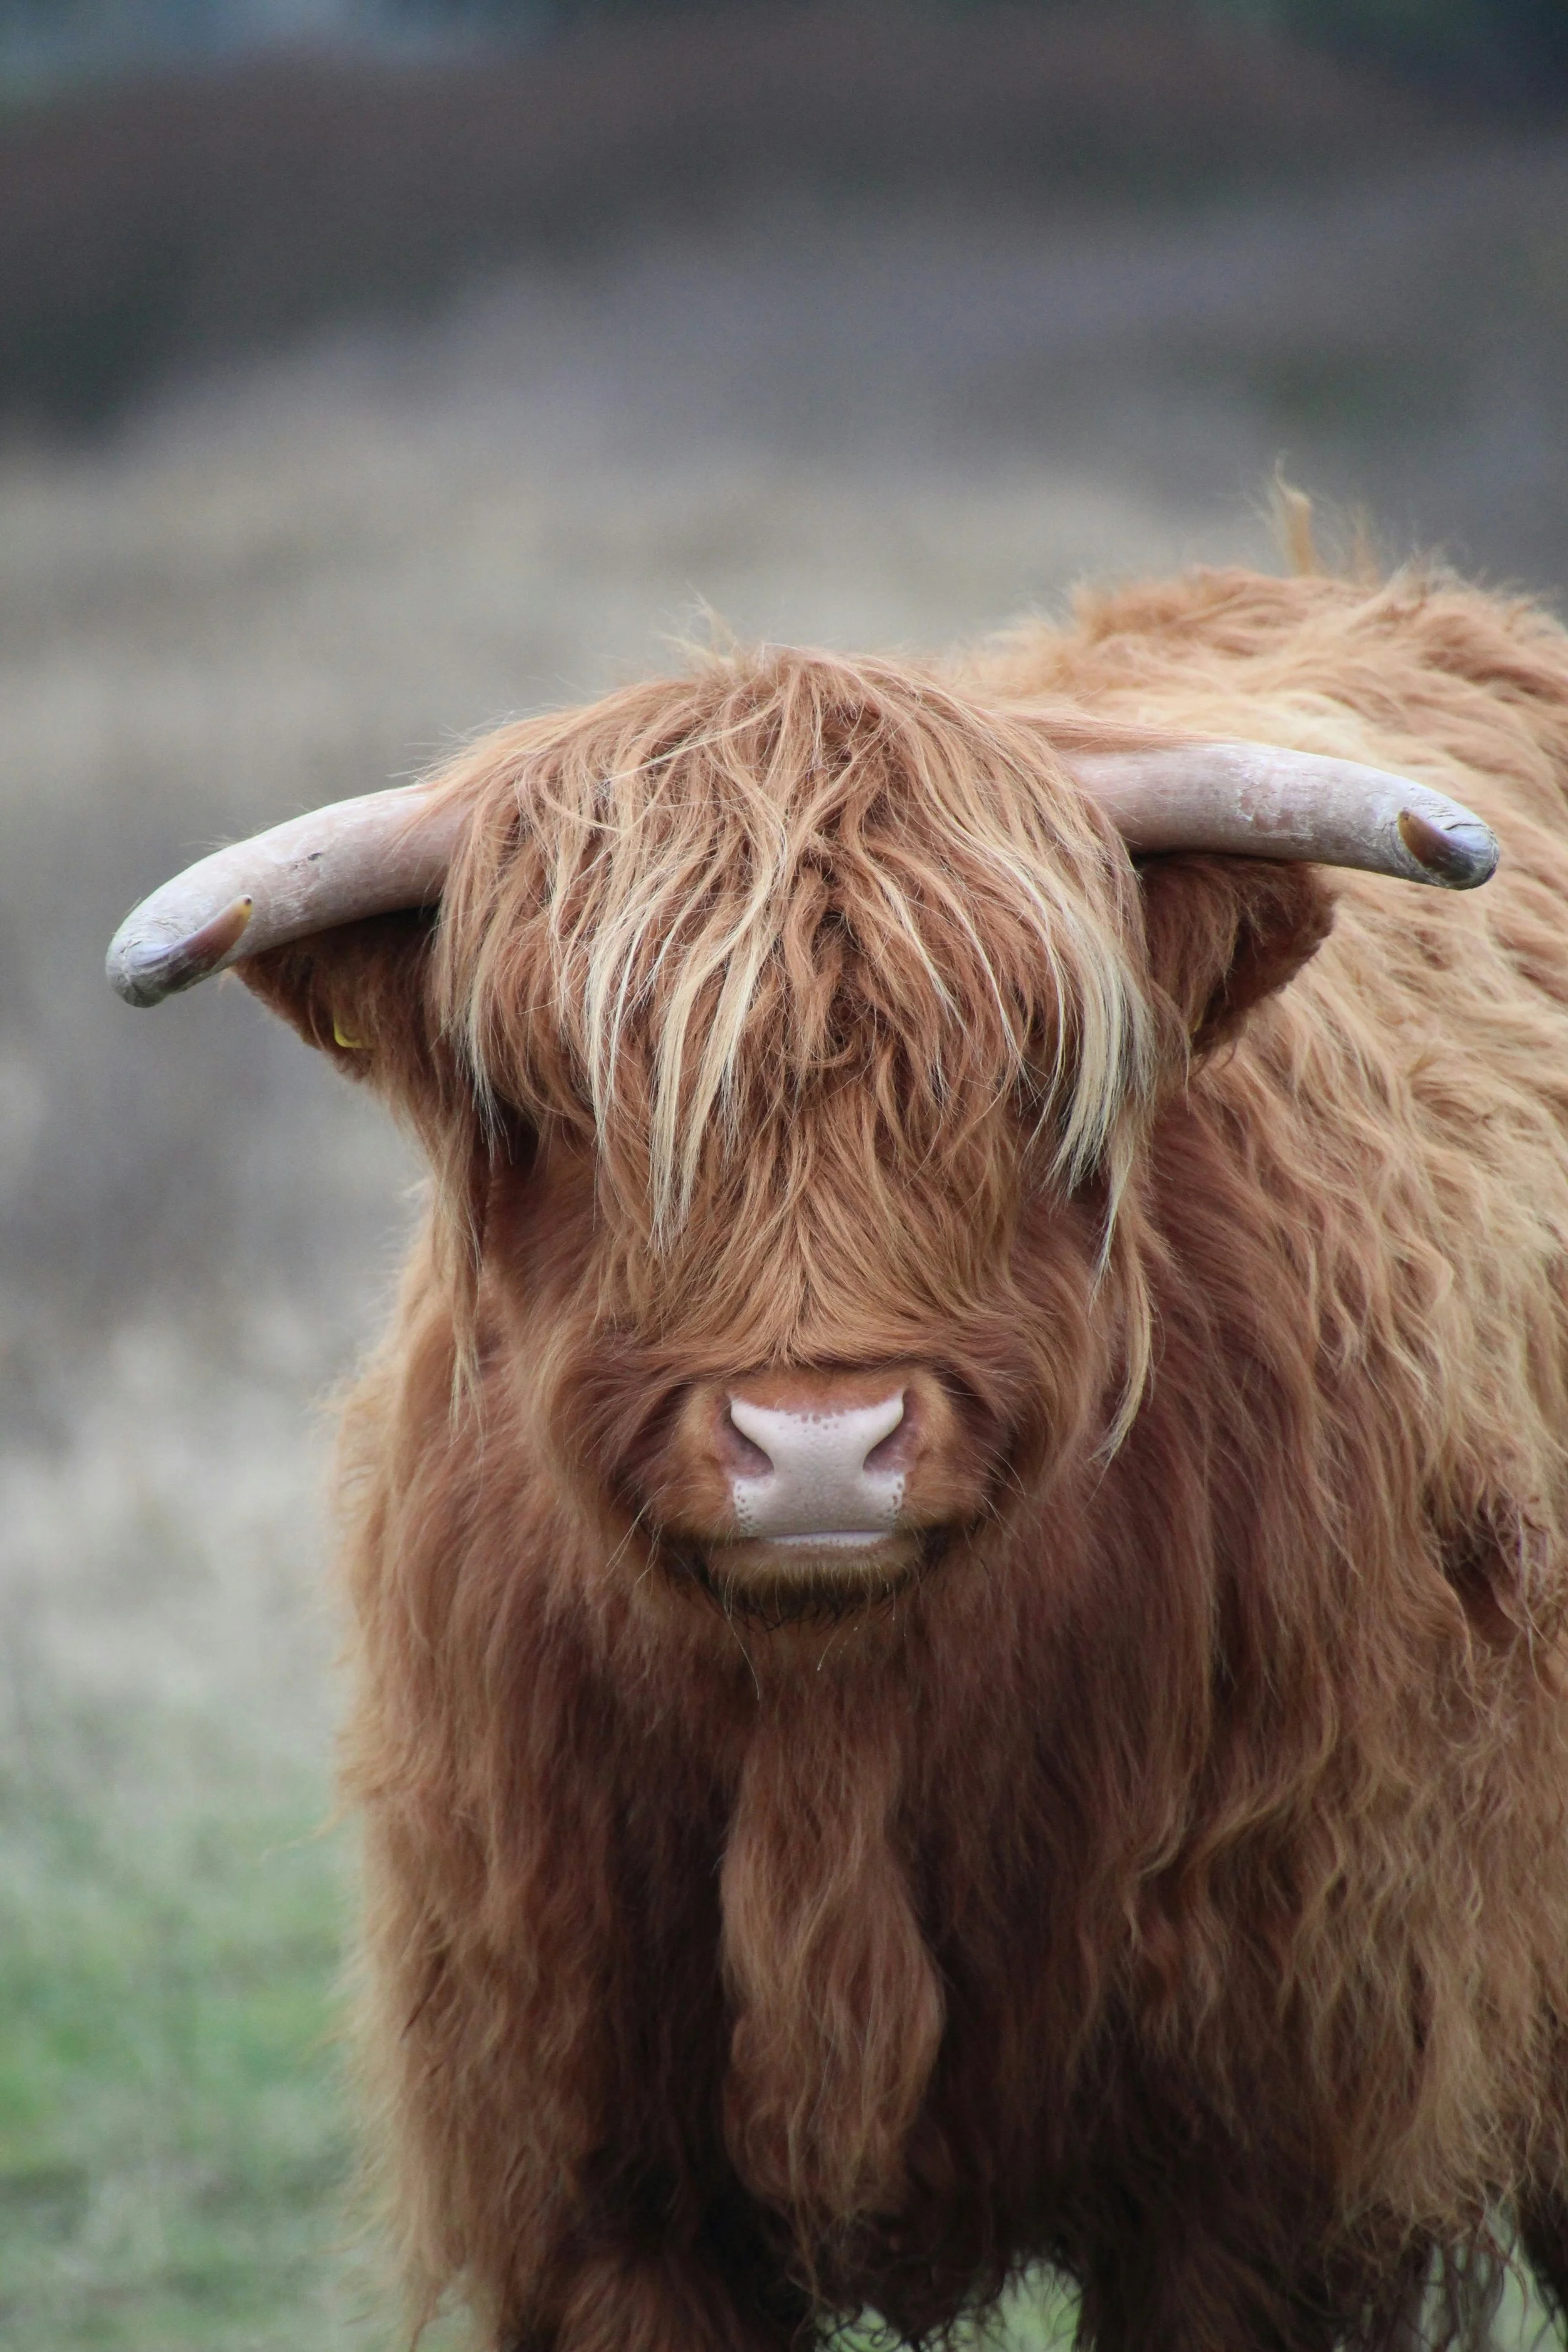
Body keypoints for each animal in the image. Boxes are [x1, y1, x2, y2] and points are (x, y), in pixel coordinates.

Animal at [109, 559, 1568, 2352]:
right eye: (560, 1101)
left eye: (1028, 1078)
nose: (817, 1447)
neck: (839, 1739)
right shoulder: (592, 2179)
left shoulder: (1251, 2175)